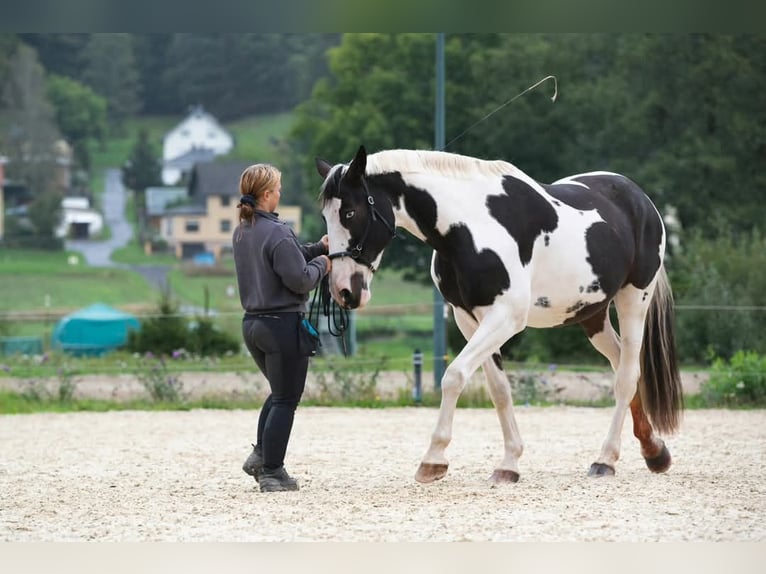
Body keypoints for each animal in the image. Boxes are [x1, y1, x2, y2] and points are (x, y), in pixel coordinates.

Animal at [316, 146, 688, 484]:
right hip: (591, 315)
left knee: (627, 376)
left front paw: (433, 459)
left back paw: (606, 459)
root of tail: (641, 200)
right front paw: (509, 463)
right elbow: (499, 390)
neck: (469, 228)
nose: (344, 291)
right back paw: (654, 451)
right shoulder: (469, 318)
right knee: (621, 365)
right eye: (325, 217)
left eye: (349, 212)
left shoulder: (505, 317)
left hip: (633, 299)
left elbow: (454, 376)